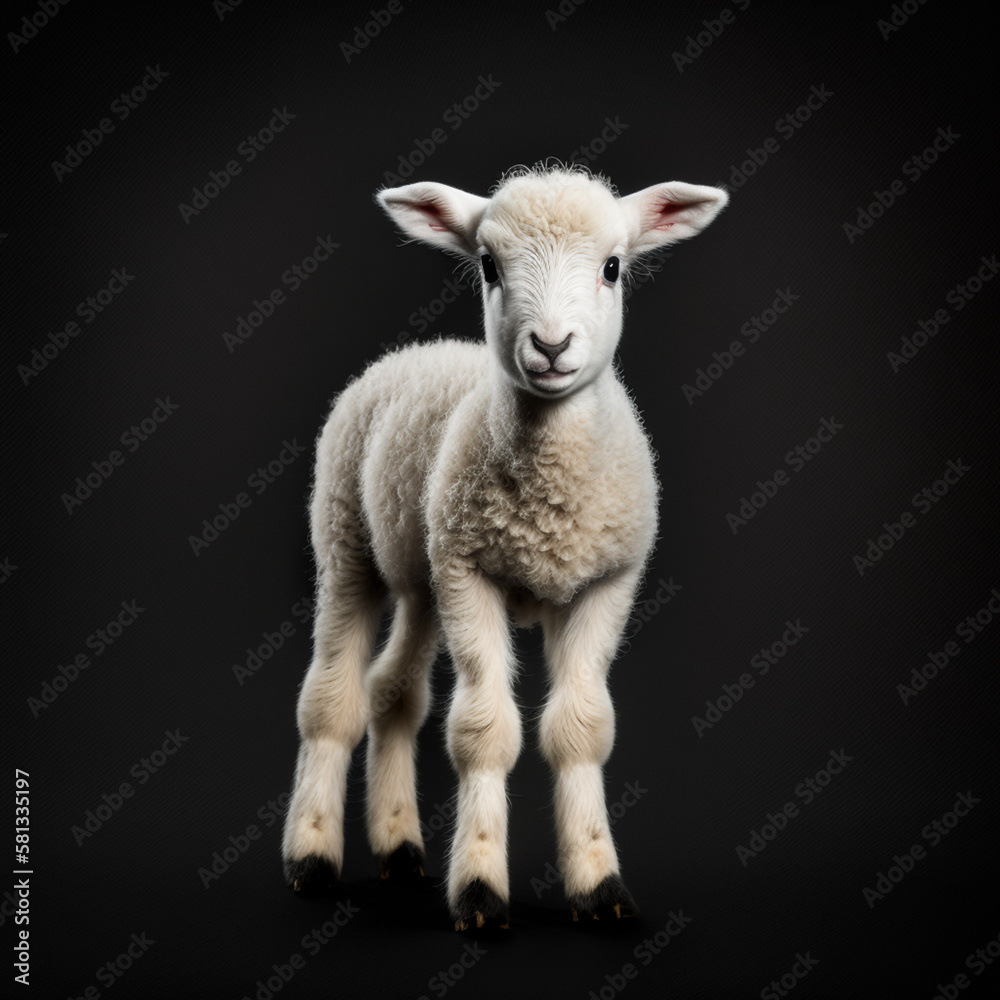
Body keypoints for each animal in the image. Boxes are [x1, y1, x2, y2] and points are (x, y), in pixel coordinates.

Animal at [281, 164, 728, 930]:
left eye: (613, 268)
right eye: (489, 265)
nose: (549, 346)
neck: (549, 504)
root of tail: (420, 349)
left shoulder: (606, 581)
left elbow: (582, 727)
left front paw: (599, 883)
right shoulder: (471, 575)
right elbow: (483, 730)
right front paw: (481, 887)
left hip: (426, 567)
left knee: (392, 691)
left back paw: (399, 844)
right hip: (348, 541)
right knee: (332, 697)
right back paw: (311, 854)